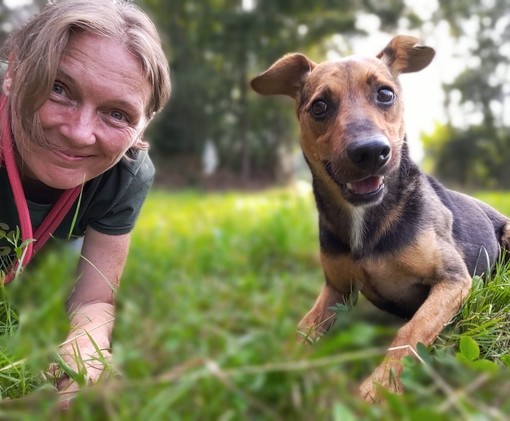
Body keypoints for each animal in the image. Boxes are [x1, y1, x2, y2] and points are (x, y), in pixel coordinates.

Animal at [251, 35, 510, 400]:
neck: (367, 218)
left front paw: (379, 387)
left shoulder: (454, 281)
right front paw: (274, 364)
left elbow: (411, 332)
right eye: (319, 106)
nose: (371, 151)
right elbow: (303, 329)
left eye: (385, 94)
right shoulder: (336, 289)